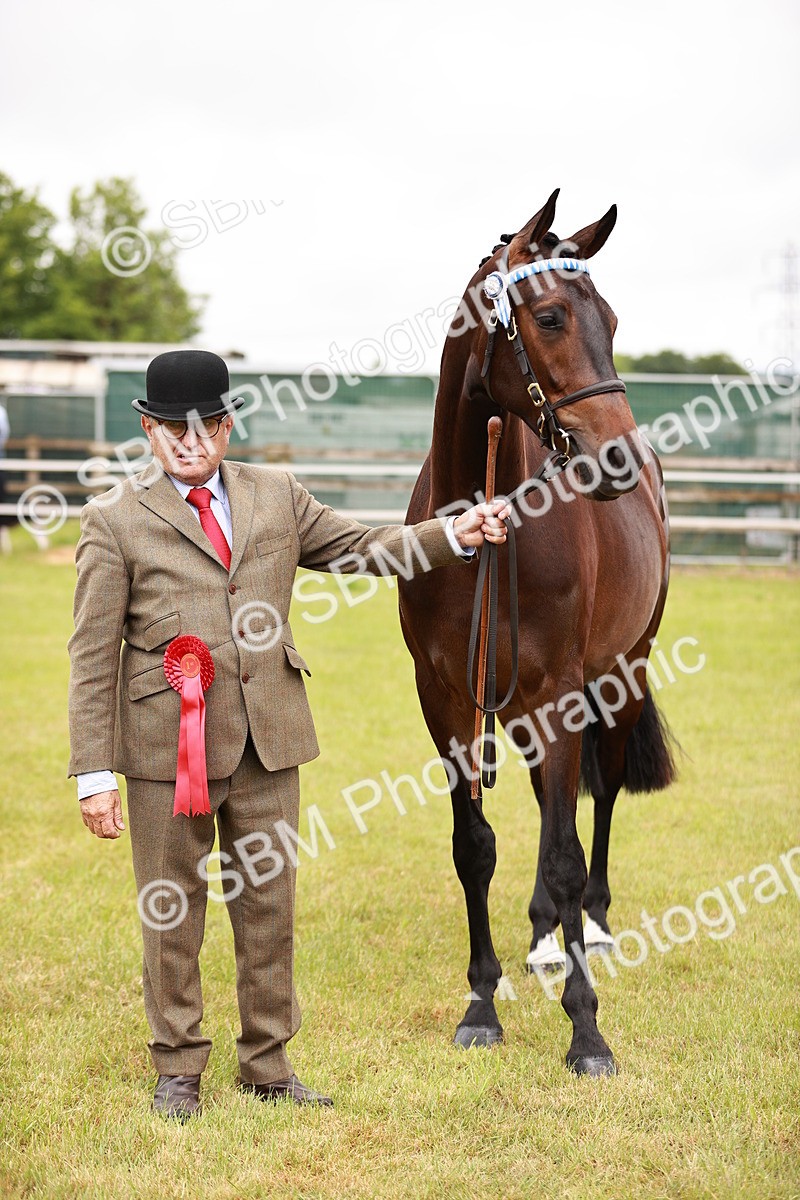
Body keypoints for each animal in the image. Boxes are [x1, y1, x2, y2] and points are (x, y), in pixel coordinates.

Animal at [398, 190, 675, 1076]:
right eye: (550, 317)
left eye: (612, 321)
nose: (614, 455)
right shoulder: (447, 700)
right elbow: (475, 847)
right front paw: (481, 1005)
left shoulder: (560, 692)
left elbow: (565, 854)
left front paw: (587, 1031)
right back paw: (545, 938)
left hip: (621, 674)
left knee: (602, 796)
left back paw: (593, 927)